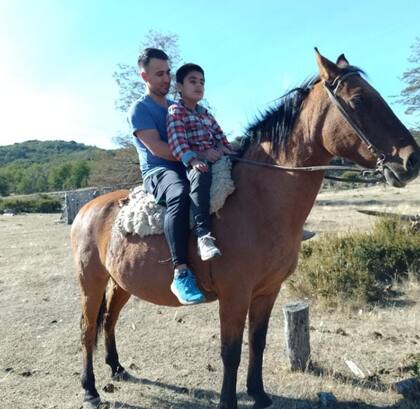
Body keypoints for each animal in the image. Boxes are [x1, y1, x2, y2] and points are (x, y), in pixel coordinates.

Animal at [70, 48, 418, 408]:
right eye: (360, 99)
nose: (412, 160)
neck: (258, 203)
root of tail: (88, 207)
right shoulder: (234, 295)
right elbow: (231, 351)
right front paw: (229, 400)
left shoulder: (268, 290)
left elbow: (258, 342)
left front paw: (259, 393)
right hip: (90, 282)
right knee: (87, 328)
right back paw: (90, 389)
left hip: (120, 282)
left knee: (109, 320)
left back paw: (116, 368)